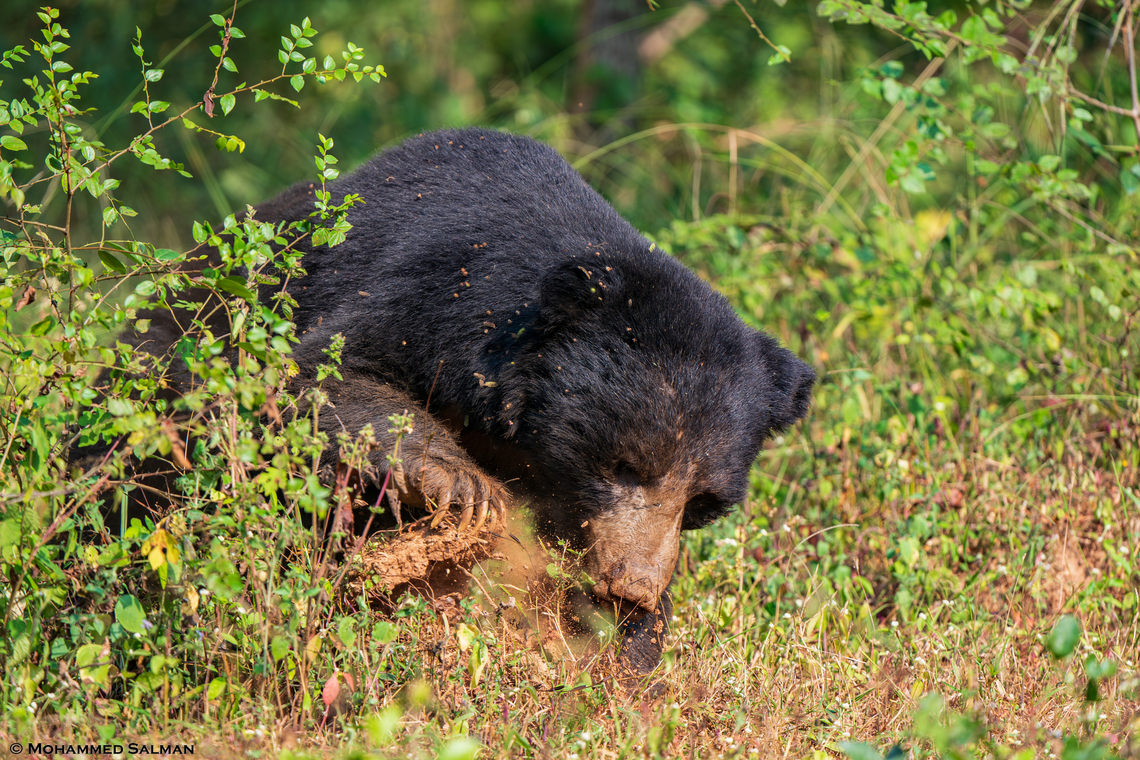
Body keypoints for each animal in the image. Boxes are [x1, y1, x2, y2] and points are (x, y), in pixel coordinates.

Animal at [114, 127, 816, 676]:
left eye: (702, 504)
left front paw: (631, 637)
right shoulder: (432, 294)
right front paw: (461, 485)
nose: (632, 585)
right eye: (624, 466)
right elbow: (324, 372)